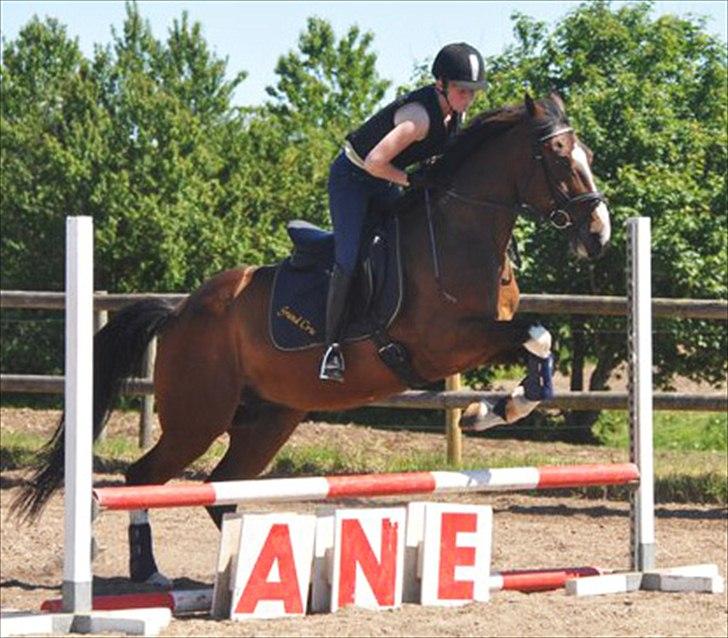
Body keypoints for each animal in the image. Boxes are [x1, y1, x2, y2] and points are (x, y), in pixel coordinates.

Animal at [14, 92, 612, 588]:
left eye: (585, 153)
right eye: (560, 156)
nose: (600, 234)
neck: (459, 232)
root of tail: (180, 312)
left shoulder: (485, 335)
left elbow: (538, 342)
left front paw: (497, 410)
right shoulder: (445, 342)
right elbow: (536, 336)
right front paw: (491, 410)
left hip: (269, 419)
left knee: (222, 489)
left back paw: (251, 573)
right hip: (197, 416)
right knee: (144, 477)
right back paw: (149, 573)